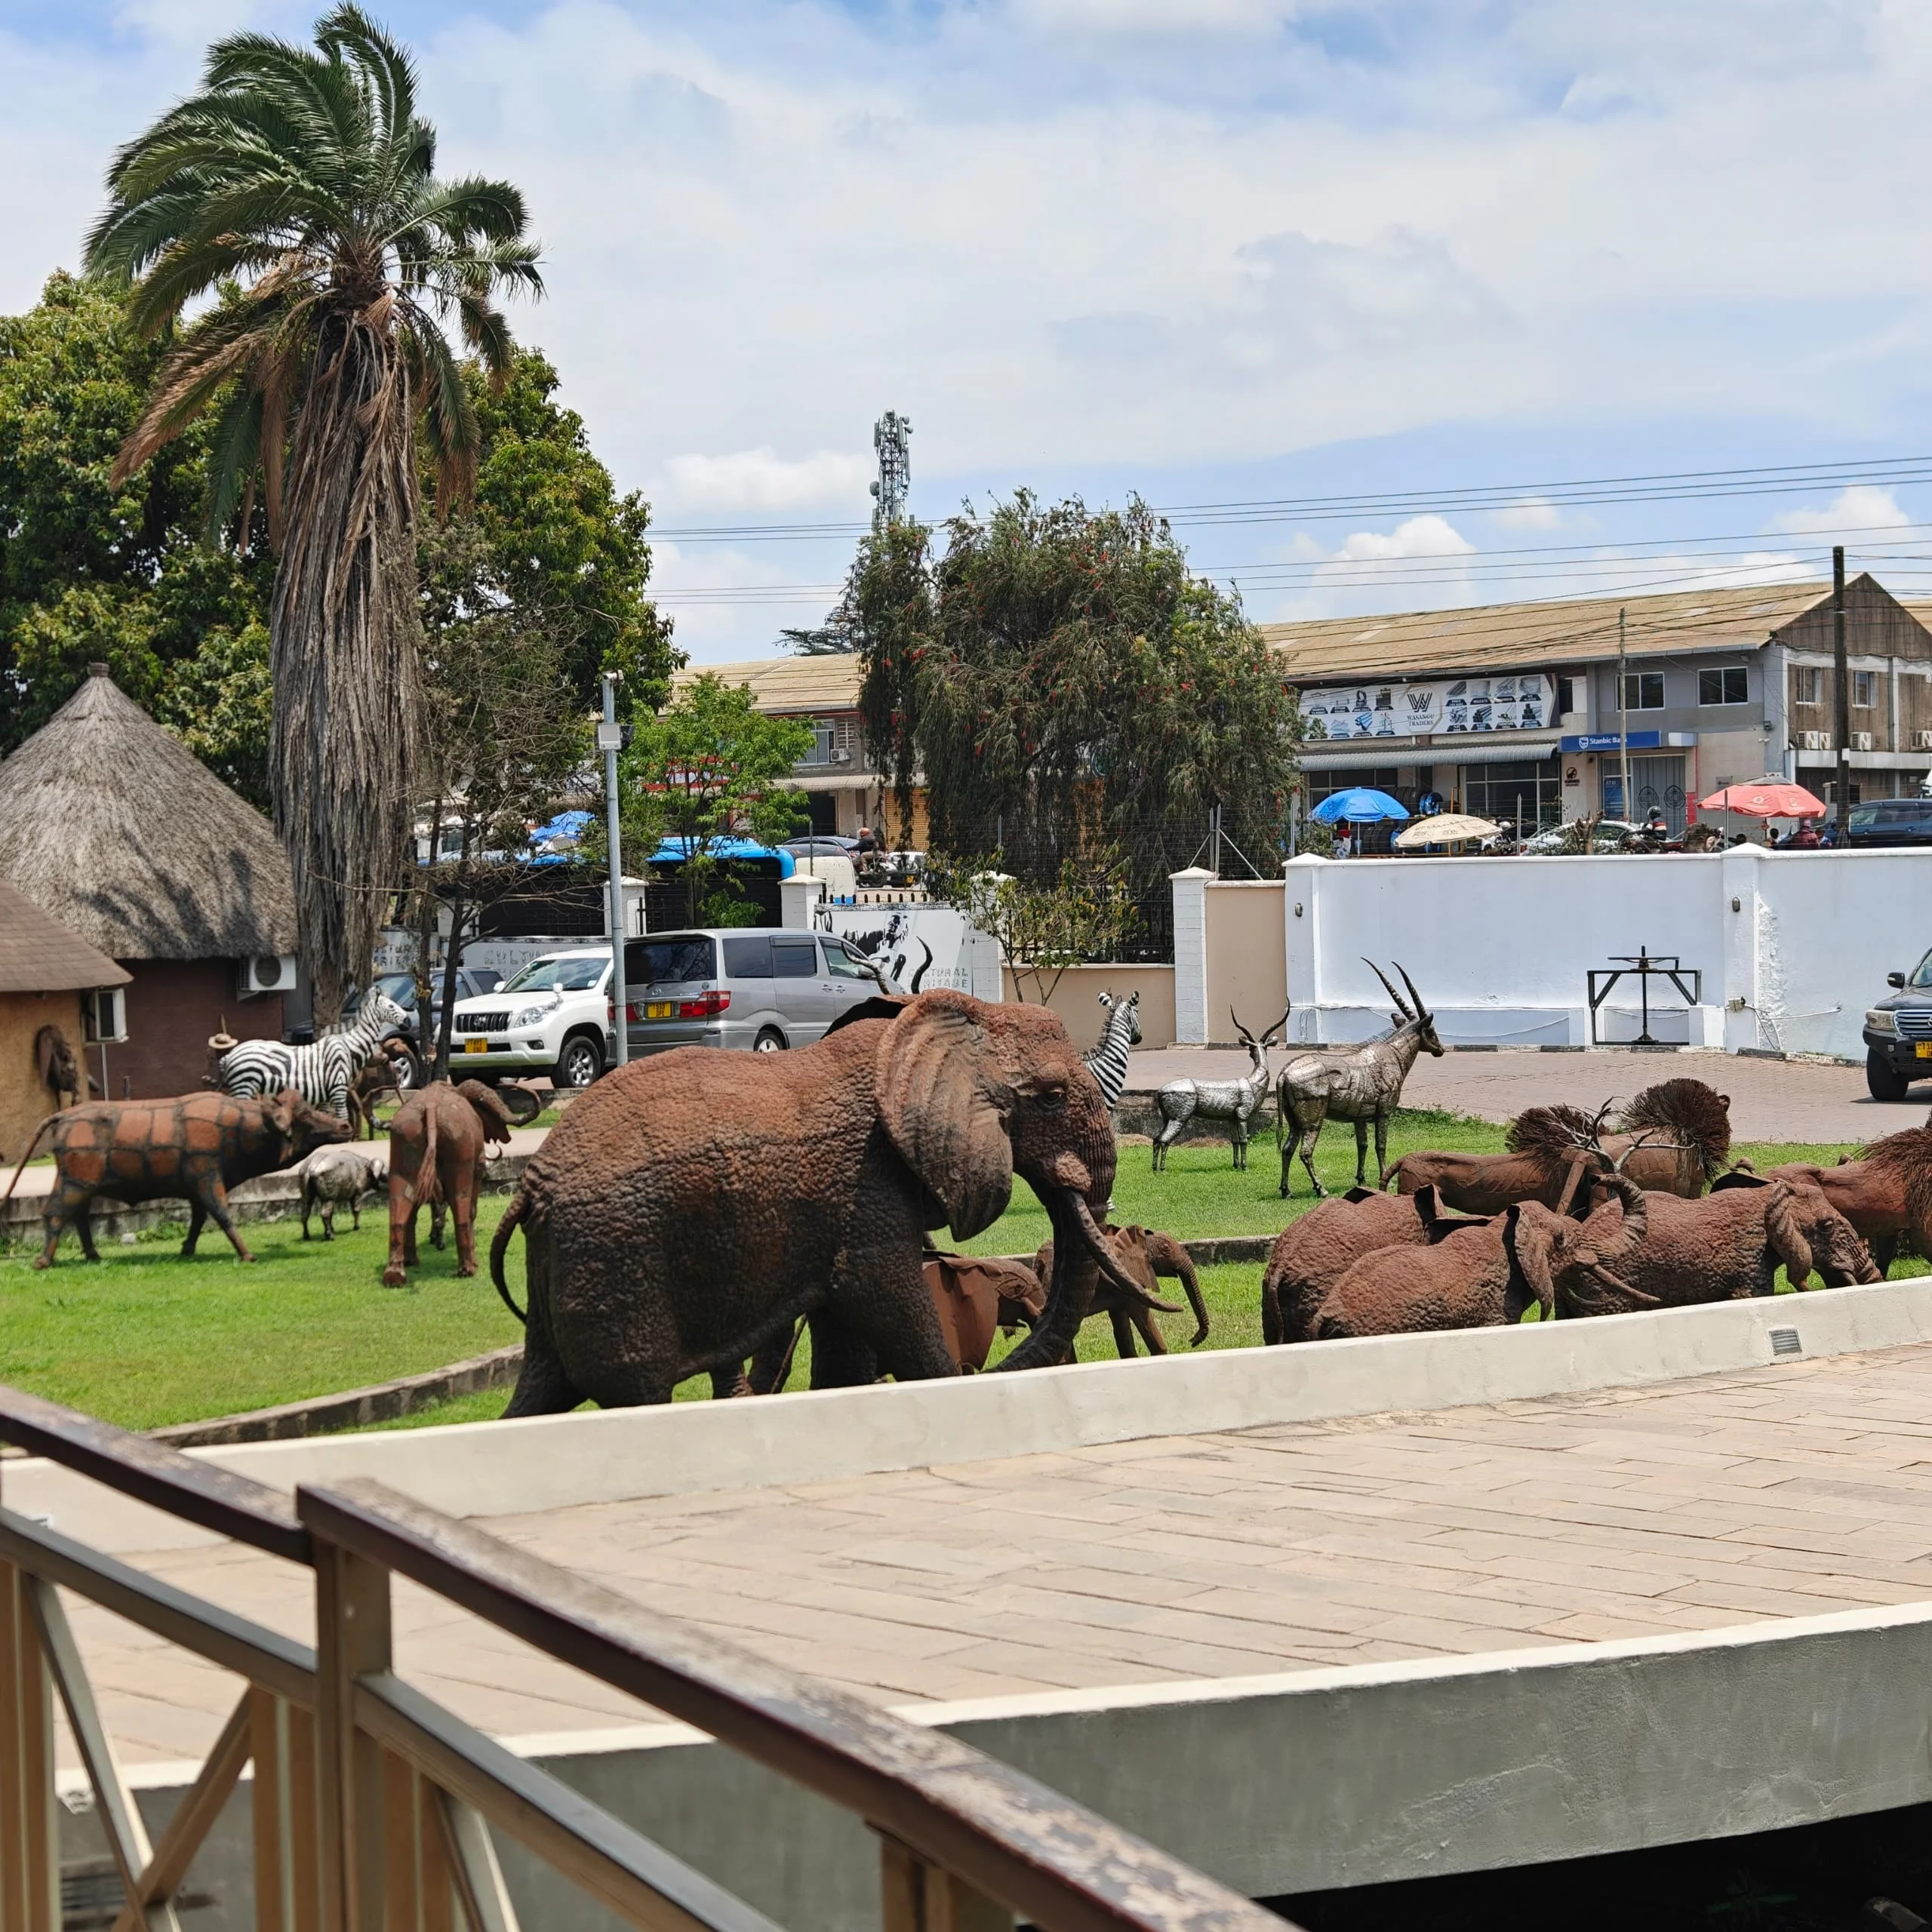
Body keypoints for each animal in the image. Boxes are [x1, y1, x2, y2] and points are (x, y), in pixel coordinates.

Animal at [490, 990, 1146, 1413]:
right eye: (1053, 1097)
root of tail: (533, 1186)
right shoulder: (867, 1183)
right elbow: (891, 1308)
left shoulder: (843, 1207)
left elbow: (846, 1354)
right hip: (617, 1253)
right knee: (631, 1390)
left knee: (541, 1390)